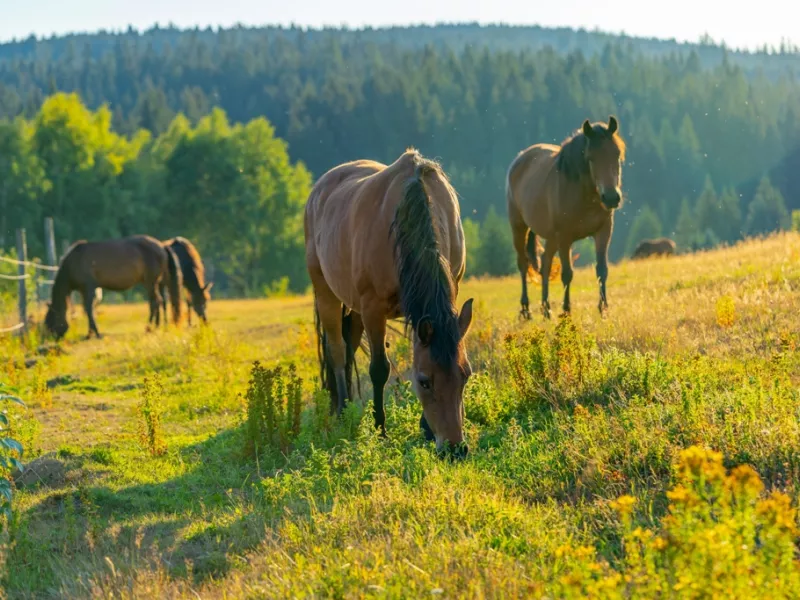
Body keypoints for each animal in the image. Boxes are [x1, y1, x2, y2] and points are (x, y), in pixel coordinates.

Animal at [44, 235, 182, 339]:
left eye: (49, 321)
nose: (52, 338)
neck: (74, 262)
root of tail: (162, 246)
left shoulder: (89, 288)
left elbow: (88, 309)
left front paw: (96, 333)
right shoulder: (84, 290)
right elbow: (88, 309)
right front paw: (90, 333)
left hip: (151, 282)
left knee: (155, 302)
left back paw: (149, 327)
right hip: (150, 283)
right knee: (156, 302)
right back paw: (155, 327)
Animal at [305, 148, 475, 457]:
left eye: (465, 375)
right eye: (424, 381)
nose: (455, 449)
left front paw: (425, 429)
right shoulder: (373, 308)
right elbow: (379, 369)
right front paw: (380, 430)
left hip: (354, 308)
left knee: (348, 346)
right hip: (326, 293)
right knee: (337, 351)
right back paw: (342, 411)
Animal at [507, 116, 627, 319]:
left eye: (616, 155)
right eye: (591, 158)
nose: (611, 197)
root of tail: (519, 159)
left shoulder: (603, 231)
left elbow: (602, 270)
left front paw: (603, 309)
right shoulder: (565, 237)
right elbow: (567, 274)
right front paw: (566, 311)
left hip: (551, 237)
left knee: (545, 263)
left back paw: (546, 309)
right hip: (519, 227)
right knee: (523, 264)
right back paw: (526, 309)